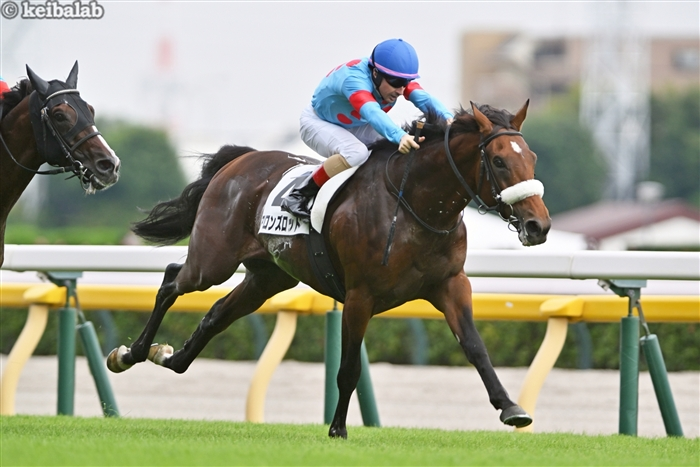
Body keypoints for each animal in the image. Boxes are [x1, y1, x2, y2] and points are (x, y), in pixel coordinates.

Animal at [107, 101, 550, 438]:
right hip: (212, 261)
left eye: (531, 158)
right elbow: (349, 367)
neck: (413, 205)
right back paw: (131, 353)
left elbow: (475, 347)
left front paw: (511, 408)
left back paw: (169, 356)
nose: (538, 226)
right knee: (171, 280)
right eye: (498, 161)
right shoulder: (359, 296)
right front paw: (338, 429)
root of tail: (241, 160)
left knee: (215, 314)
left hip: (268, 277)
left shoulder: (450, 285)